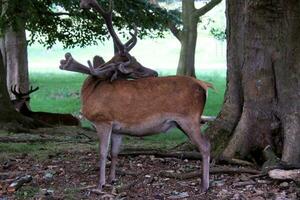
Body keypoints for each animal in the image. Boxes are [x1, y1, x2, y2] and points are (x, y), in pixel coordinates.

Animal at [59, 0, 212, 192]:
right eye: (135, 65)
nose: (154, 73)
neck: (90, 93)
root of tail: (204, 86)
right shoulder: (118, 128)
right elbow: (114, 152)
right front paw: (112, 179)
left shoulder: (103, 120)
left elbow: (102, 152)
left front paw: (100, 184)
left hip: (188, 117)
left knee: (205, 146)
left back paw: (204, 186)